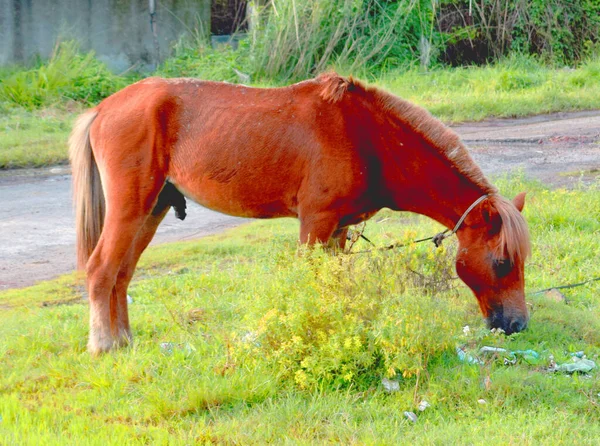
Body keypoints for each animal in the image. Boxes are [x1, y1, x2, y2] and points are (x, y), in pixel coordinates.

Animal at [69, 72, 528, 356]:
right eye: (501, 262)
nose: (518, 325)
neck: (367, 138)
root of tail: (104, 108)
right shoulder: (315, 223)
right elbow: (310, 285)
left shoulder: (339, 230)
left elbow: (335, 286)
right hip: (131, 208)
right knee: (101, 269)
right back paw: (103, 344)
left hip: (153, 210)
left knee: (122, 273)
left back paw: (124, 339)